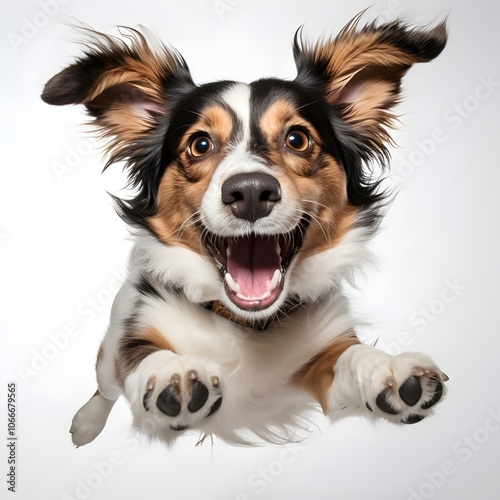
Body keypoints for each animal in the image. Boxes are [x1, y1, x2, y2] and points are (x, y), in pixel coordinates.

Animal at [43, 14, 450, 446]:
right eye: (200, 144)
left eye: (297, 139)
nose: (251, 192)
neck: (246, 325)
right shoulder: (137, 333)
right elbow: (144, 357)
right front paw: (170, 375)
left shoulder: (324, 362)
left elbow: (351, 357)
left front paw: (387, 370)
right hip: (111, 345)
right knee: (105, 385)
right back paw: (86, 422)